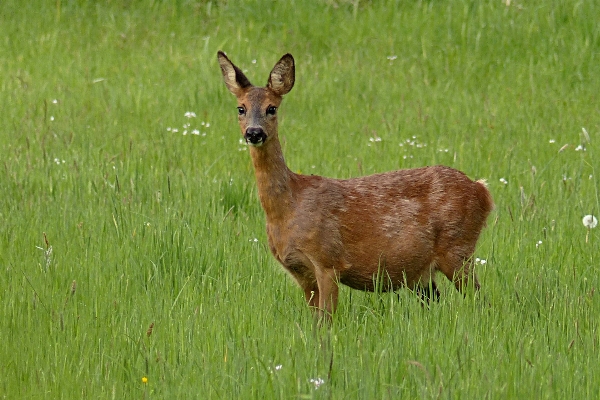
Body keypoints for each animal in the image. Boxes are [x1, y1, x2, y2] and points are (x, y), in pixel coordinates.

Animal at [218, 51, 494, 322]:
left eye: (271, 108)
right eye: (241, 108)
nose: (254, 133)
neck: (288, 208)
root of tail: (483, 191)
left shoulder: (328, 260)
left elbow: (326, 320)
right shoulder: (300, 272)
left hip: (457, 247)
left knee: (480, 300)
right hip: (421, 271)